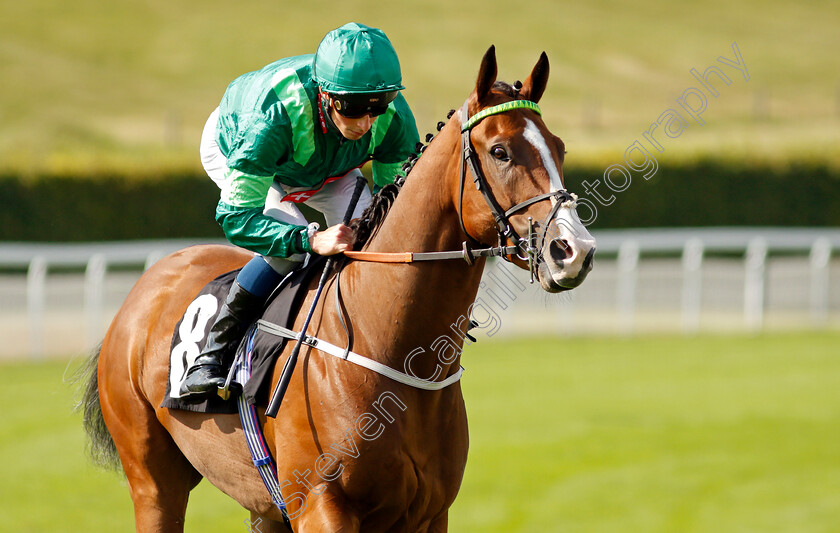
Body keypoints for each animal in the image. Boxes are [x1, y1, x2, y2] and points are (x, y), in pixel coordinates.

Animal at [77, 46, 592, 532]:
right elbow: (239, 212)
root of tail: (145, 286)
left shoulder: (430, 513)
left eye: (560, 148)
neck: (386, 346)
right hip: (153, 478)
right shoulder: (321, 507)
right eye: (500, 152)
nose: (574, 250)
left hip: (261, 505)